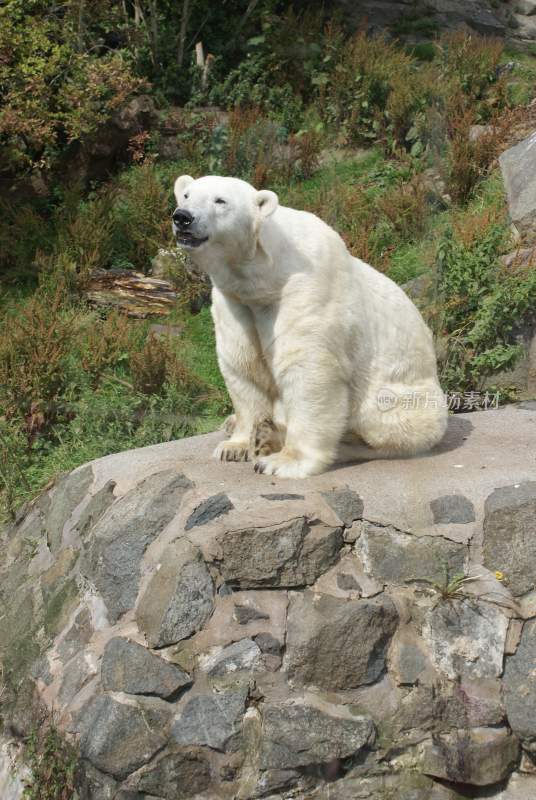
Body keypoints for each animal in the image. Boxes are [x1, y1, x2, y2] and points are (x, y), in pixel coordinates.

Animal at [173, 173, 448, 476]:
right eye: (186, 195)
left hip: (400, 399)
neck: (263, 275)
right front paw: (236, 446)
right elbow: (243, 366)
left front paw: (281, 462)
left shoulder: (305, 287)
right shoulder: (233, 301)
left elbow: (307, 369)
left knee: (383, 429)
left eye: (220, 200)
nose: (183, 217)